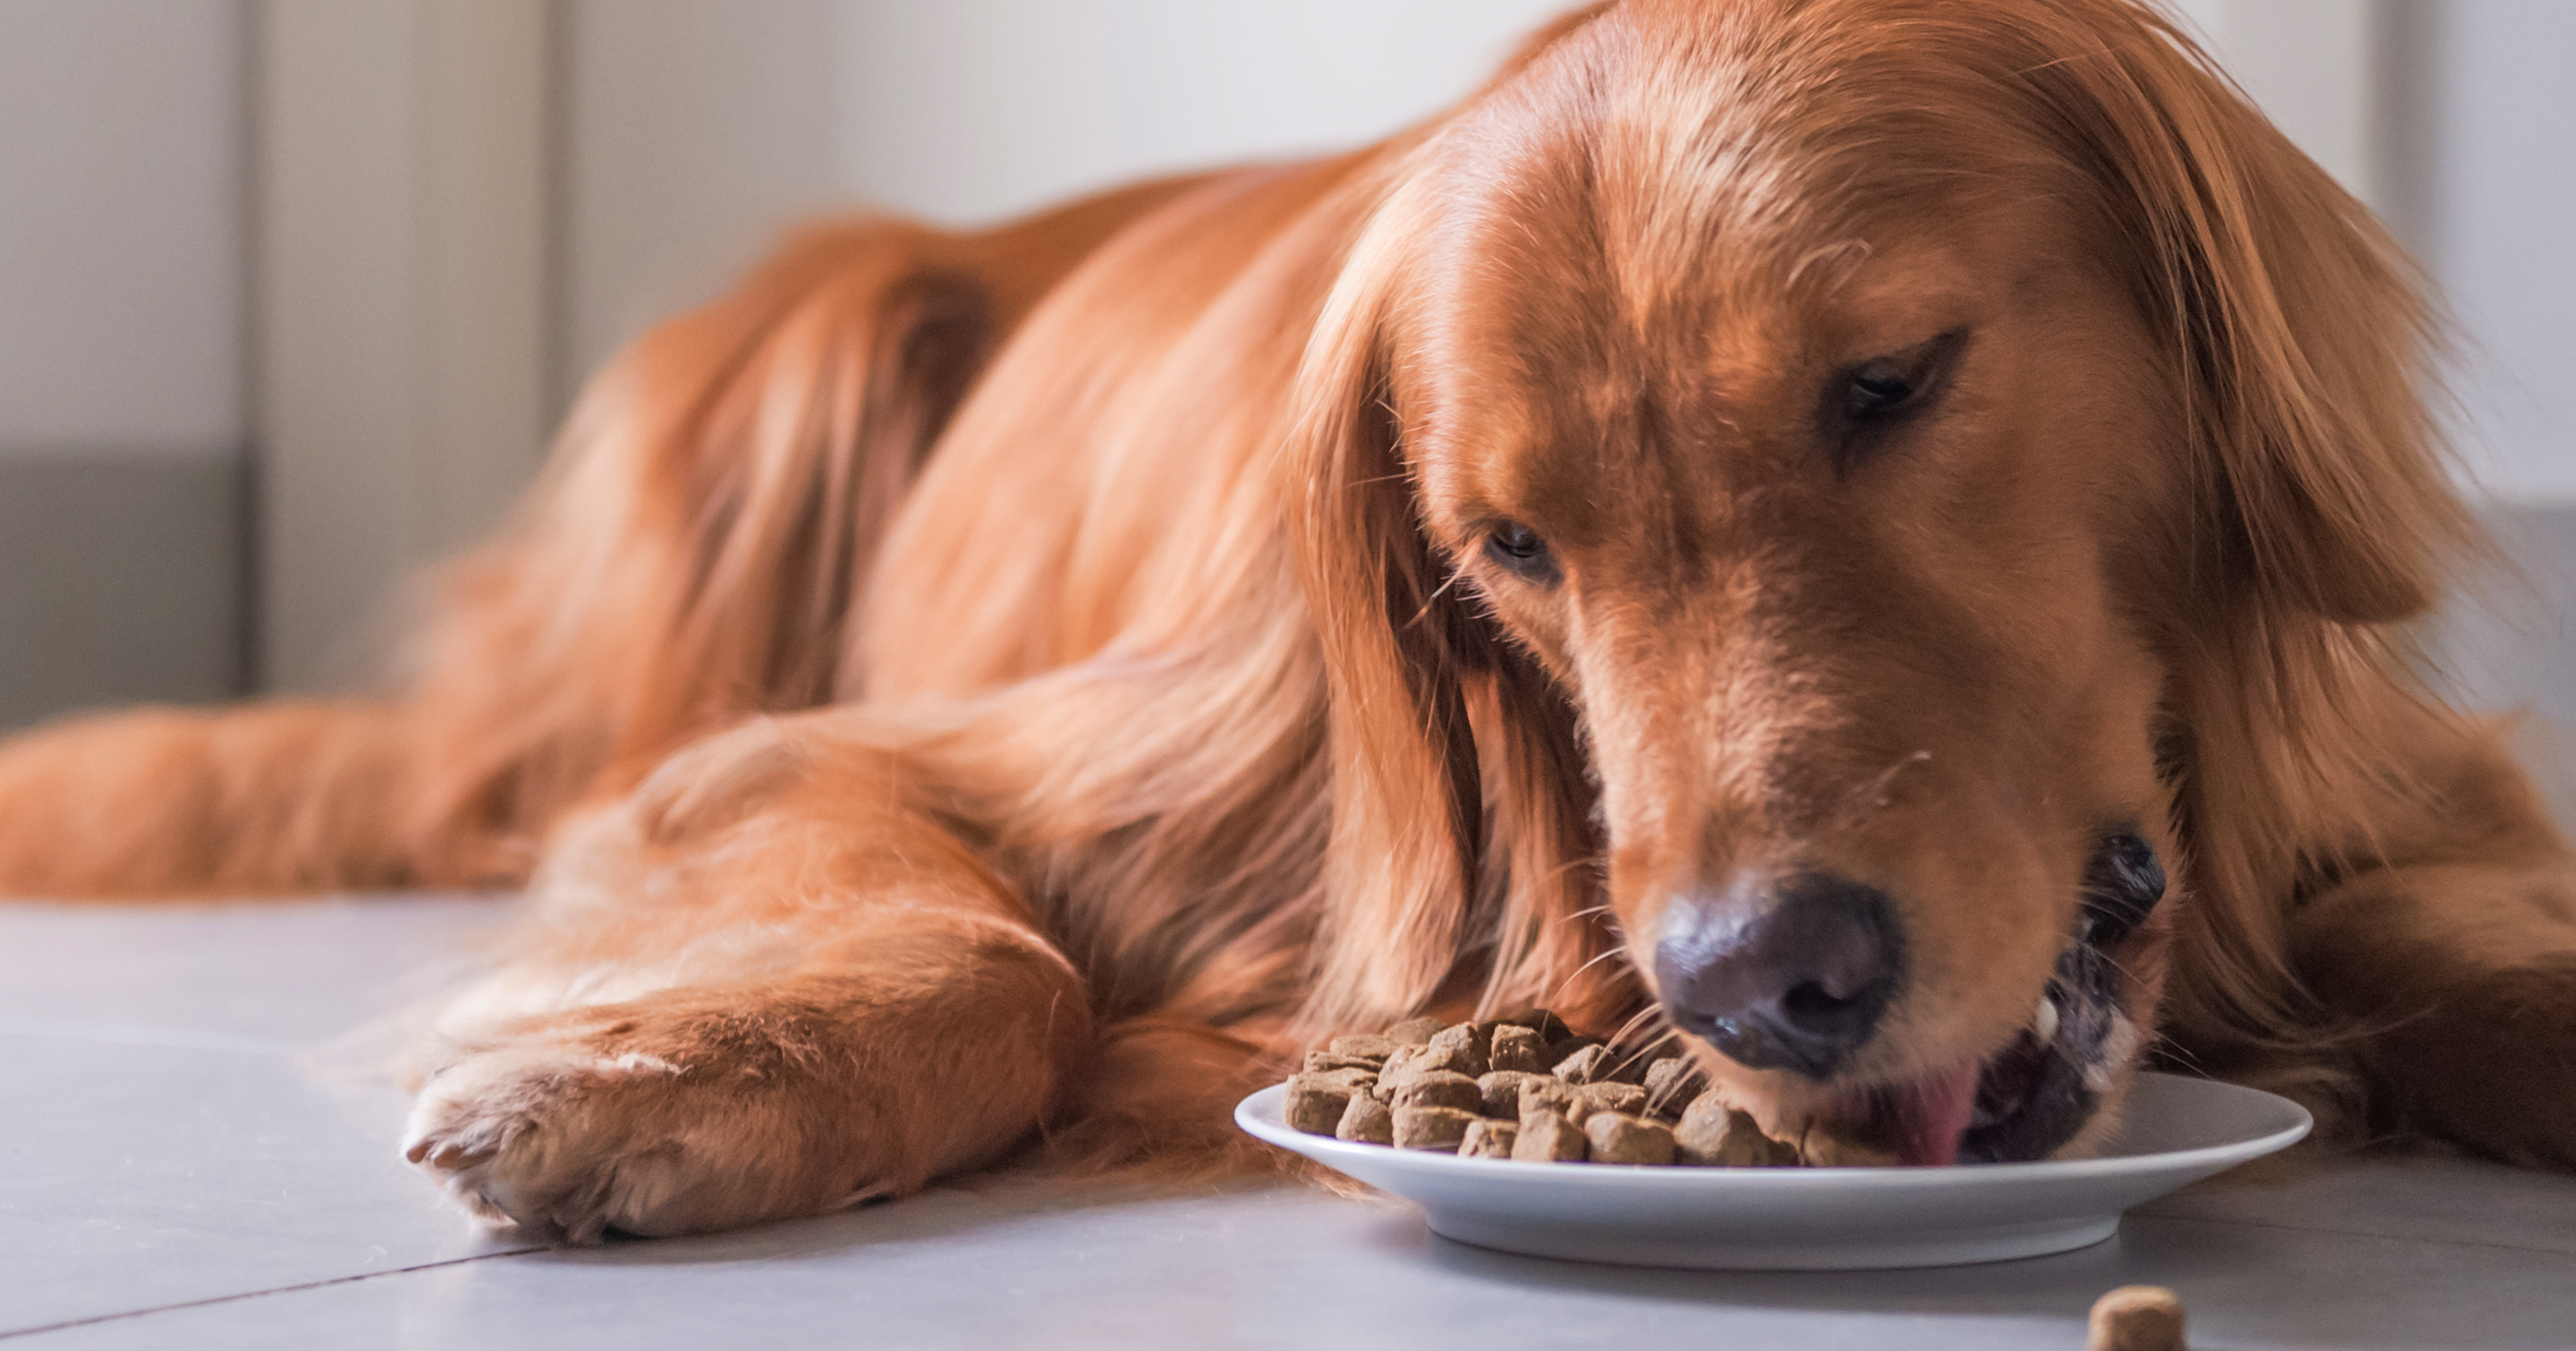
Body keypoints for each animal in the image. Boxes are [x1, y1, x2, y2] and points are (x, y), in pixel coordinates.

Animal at [4, 0, 2576, 1247]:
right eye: (1509, 549)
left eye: (1891, 381)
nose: (1769, 982)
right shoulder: (846, 751)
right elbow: (994, 946)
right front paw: (669, 1077)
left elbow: (2470, 944)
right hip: (765, 390)